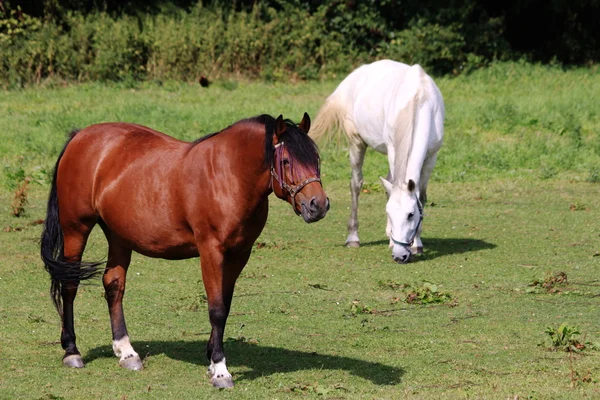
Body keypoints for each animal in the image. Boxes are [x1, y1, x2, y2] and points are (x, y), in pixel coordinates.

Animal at [39, 112, 330, 388]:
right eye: (286, 161)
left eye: (316, 158)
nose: (318, 205)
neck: (228, 175)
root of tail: (80, 137)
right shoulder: (211, 251)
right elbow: (216, 309)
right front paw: (220, 370)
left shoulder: (239, 254)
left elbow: (225, 304)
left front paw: (212, 359)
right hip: (76, 228)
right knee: (70, 285)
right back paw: (72, 351)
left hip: (118, 235)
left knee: (114, 285)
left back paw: (126, 352)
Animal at [310, 59, 446, 264]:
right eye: (389, 213)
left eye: (411, 214)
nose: (399, 256)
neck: (419, 100)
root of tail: (353, 78)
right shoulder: (393, 150)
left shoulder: (431, 157)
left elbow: (421, 197)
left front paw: (417, 244)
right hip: (357, 143)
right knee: (356, 184)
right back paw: (353, 237)